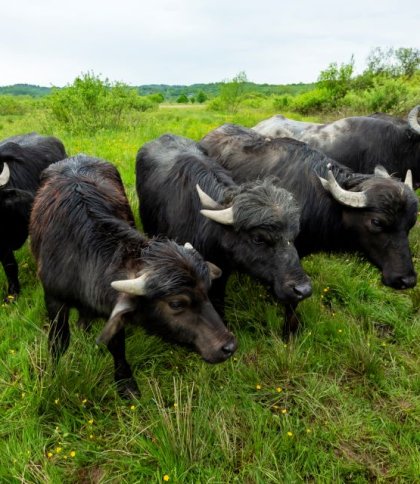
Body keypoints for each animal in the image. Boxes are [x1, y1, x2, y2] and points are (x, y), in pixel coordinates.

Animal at [29, 155, 236, 398]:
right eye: (176, 303)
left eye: (207, 291)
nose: (228, 346)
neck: (79, 256)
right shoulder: (53, 300)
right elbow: (58, 341)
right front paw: (53, 372)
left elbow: (116, 345)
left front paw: (125, 382)